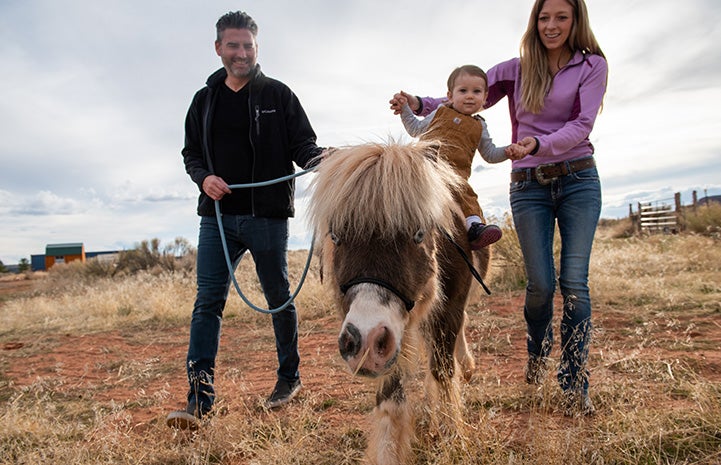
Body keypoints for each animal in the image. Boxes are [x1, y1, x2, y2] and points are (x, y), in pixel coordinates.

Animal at [308, 141, 490, 464]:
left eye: (418, 234)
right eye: (336, 237)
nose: (364, 344)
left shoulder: (448, 310)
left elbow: (443, 371)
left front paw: (452, 438)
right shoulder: (393, 333)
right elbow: (390, 395)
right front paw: (389, 452)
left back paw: (465, 368)